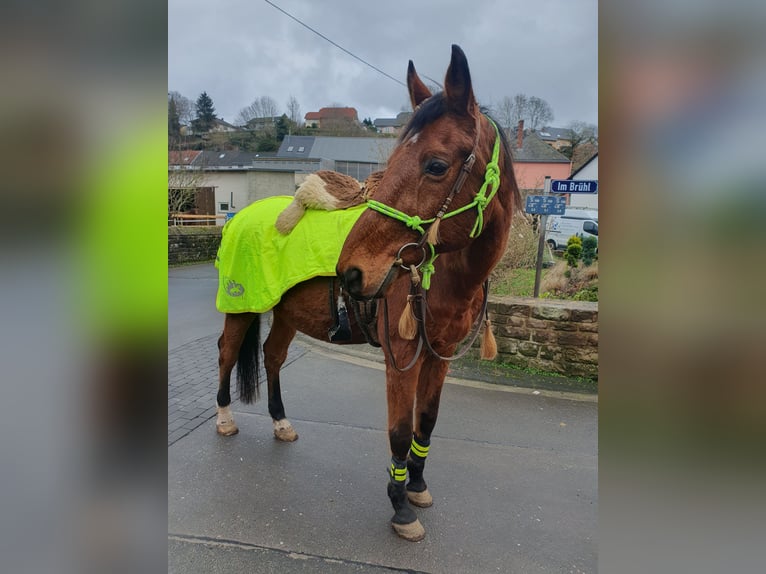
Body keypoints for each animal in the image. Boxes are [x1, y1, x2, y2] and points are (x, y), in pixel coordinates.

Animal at [214, 46, 520, 544]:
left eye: (436, 165)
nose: (351, 270)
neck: (444, 275)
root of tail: (241, 215)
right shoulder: (402, 355)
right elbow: (398, 430)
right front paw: (400, 507)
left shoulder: (439, 354)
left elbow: (425, 423)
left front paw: (417, 485)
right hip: (242, 306)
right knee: (226, 352)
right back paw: (224, 418)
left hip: (286, 314)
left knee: (272, 356)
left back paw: (281, 422)